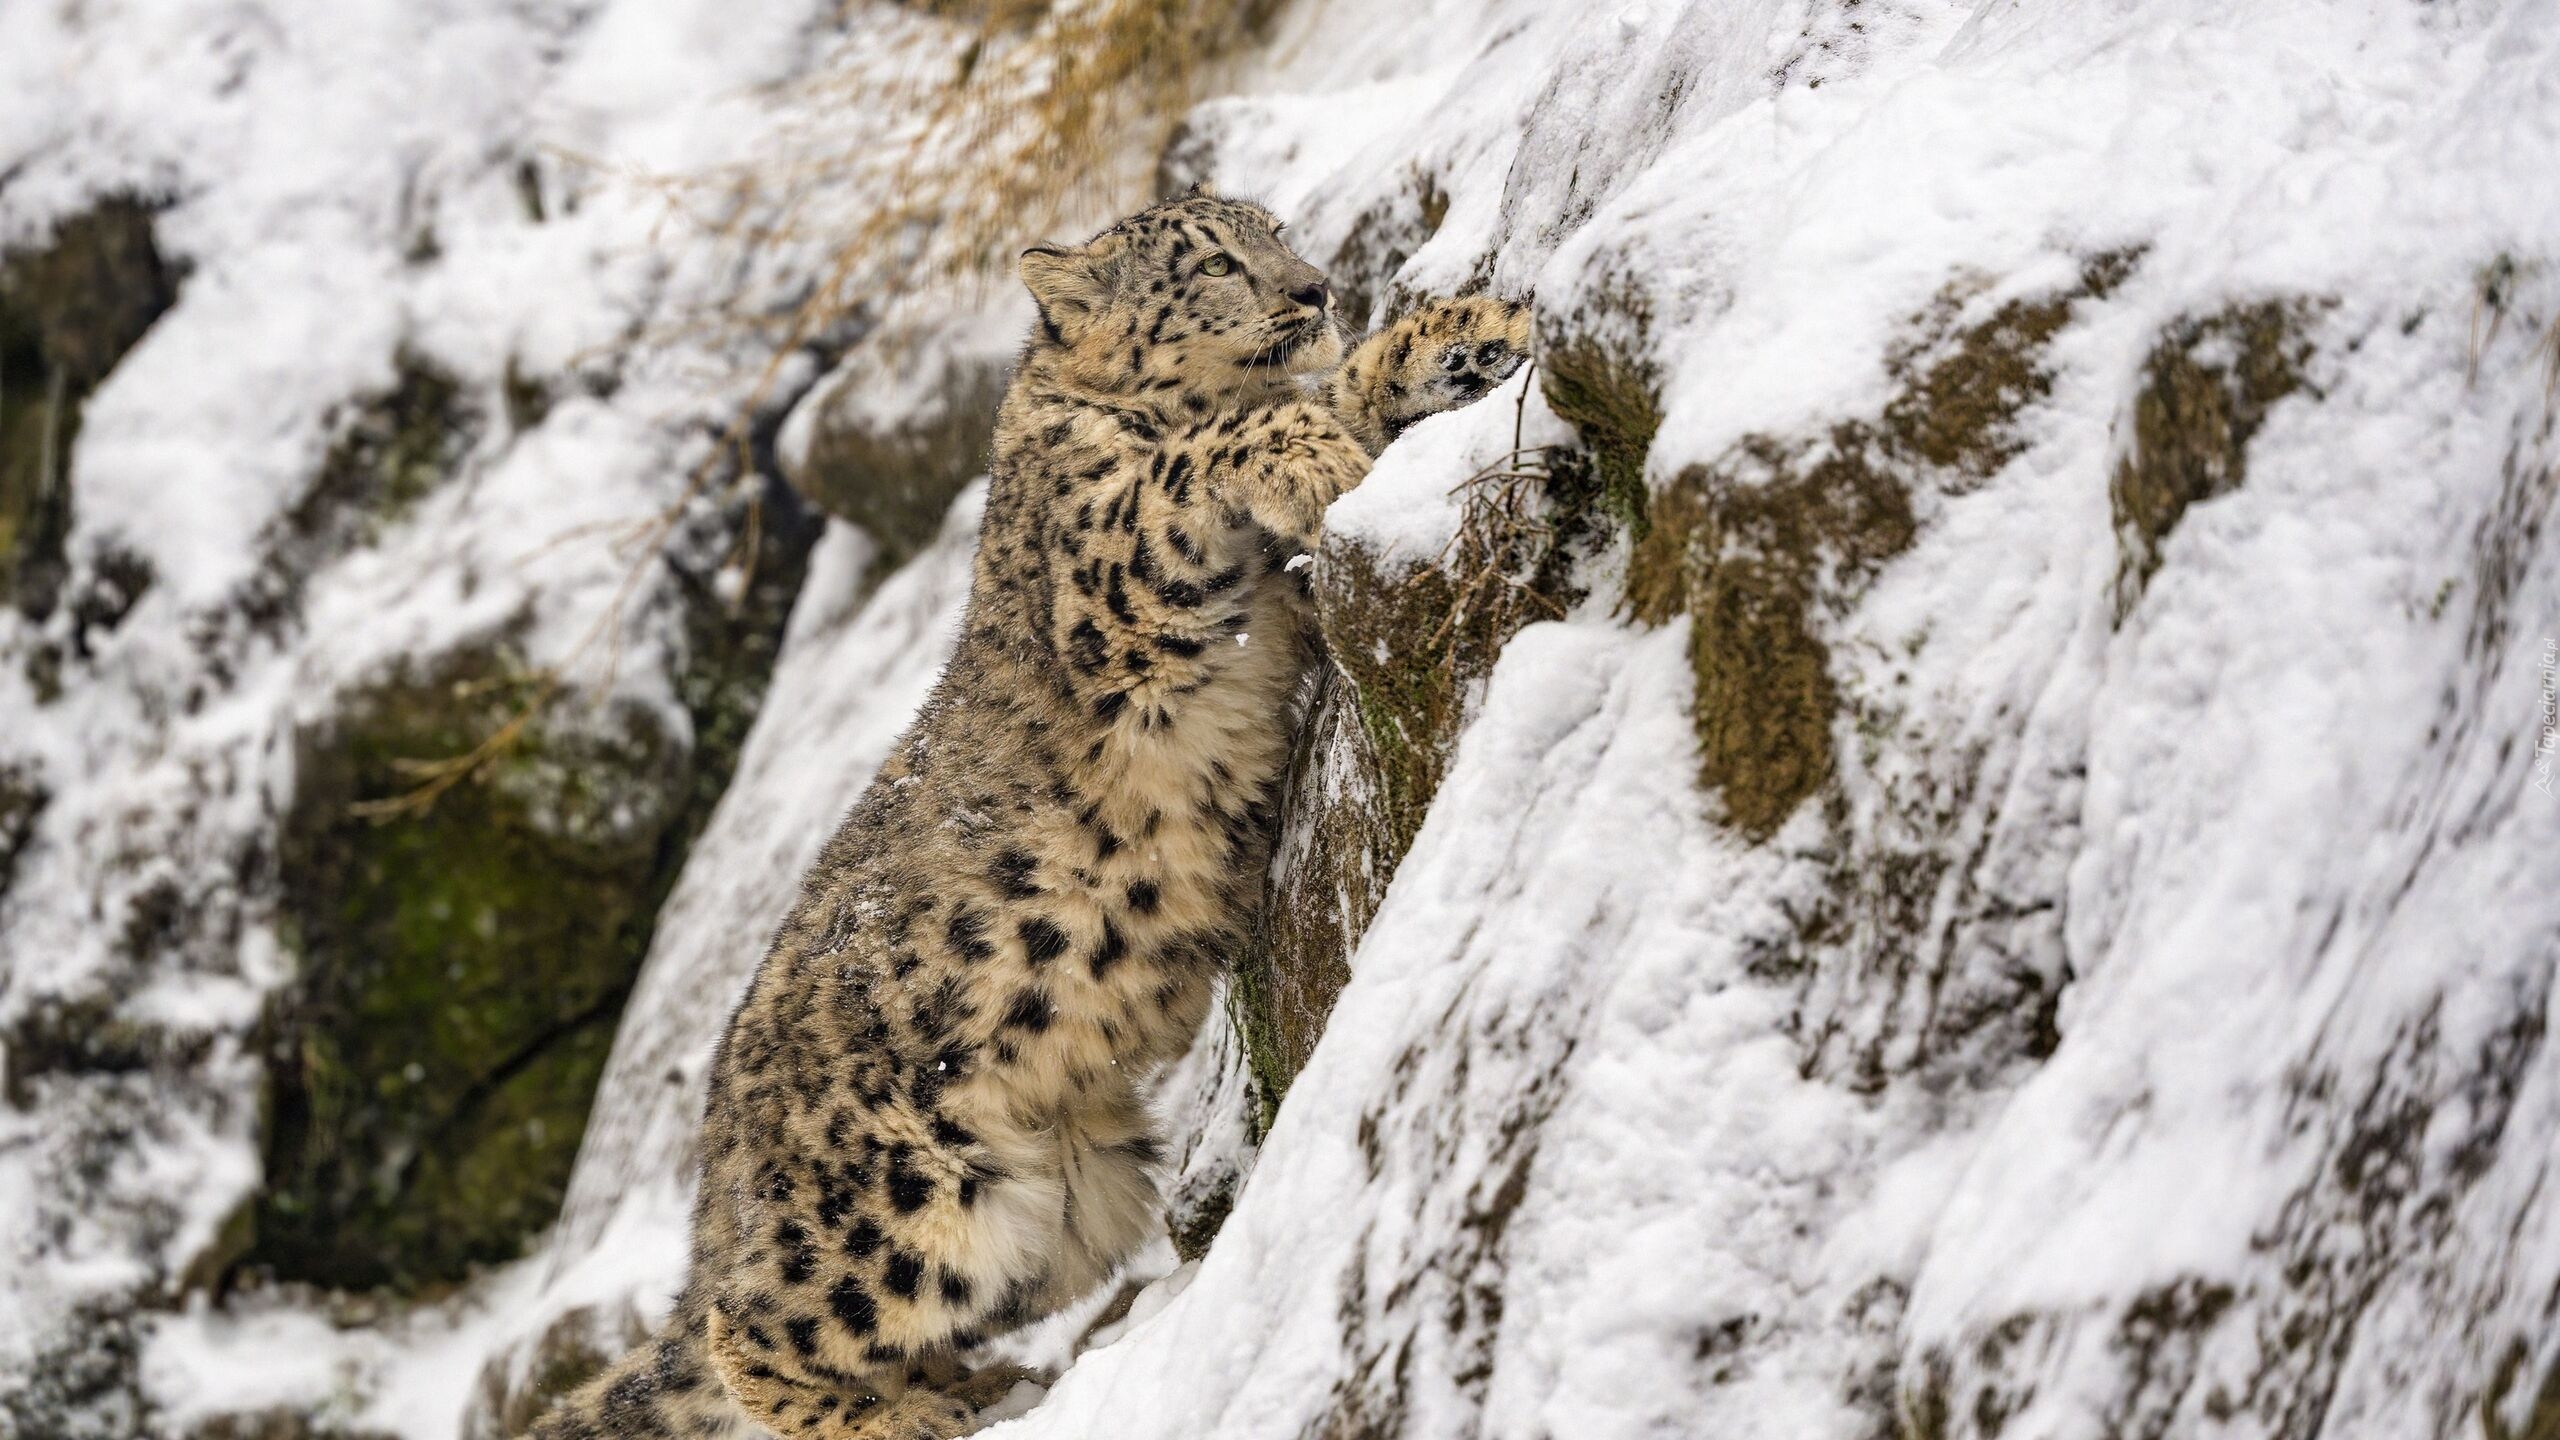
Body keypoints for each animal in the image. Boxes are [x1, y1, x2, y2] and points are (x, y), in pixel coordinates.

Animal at [517, 193, 1515, 1434]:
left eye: (1276, 233)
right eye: (1213, 263)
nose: (1314, 289)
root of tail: (717, 1187)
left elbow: (1333, 389)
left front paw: (1467, 335)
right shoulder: (1115, 587)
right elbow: (1198, 462)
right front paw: (1312, 448)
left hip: (1076, 1201)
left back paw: (975, 1381)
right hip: (904, 1197)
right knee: (748, 1335)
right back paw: (909, 1414)